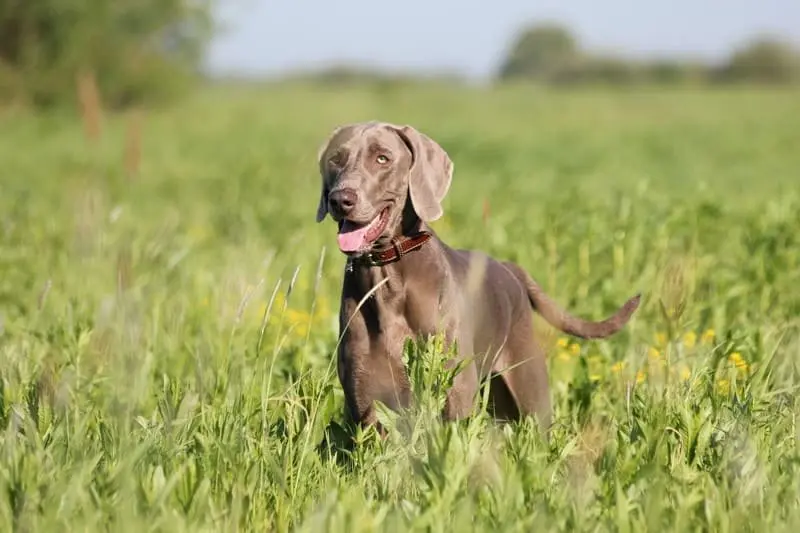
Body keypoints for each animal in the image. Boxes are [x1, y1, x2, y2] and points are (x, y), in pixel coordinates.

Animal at [316, 121, 640, 436]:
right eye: (335, 159)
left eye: (382, 158)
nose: (340, 199)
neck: (388, 277)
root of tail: (508, 267)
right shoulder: (366, 399)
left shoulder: (454, 390)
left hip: (529, 390)